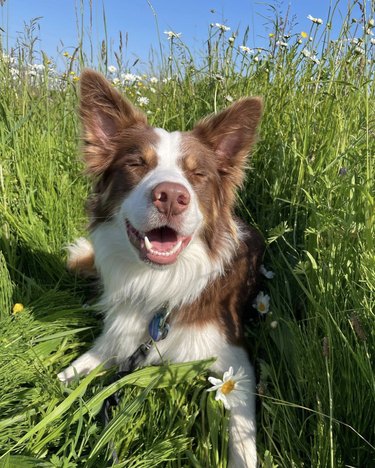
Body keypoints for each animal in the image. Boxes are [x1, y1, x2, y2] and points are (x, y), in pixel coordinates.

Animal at [58, 70, 264, 468]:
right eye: (137, 164)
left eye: (197, 174)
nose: (171, 196)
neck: (159, 285)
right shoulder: (119, 336)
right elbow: (73, 371)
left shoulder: (237, 364)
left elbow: (242, 439)